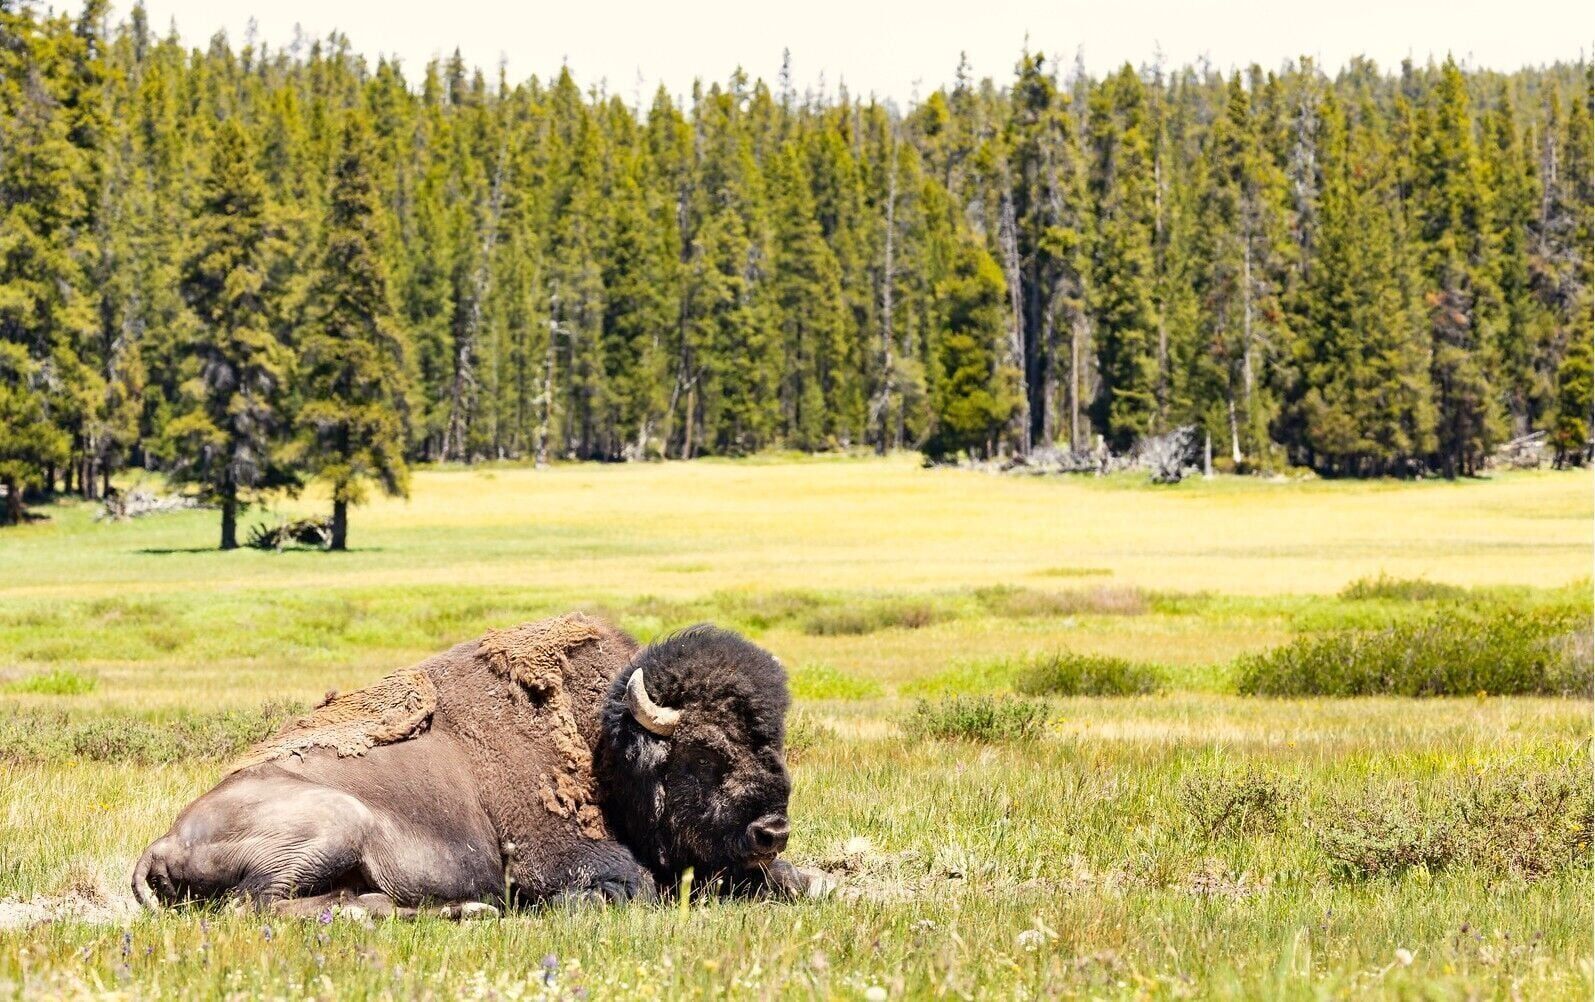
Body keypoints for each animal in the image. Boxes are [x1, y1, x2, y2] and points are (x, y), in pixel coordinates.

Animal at [132, 615, 825, 917]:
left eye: (774, 740)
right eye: (706, 750)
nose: (773, 832)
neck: (603, 745)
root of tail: (162, 841)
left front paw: (805, 880)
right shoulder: (560, 860)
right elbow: (637, 887)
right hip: (332, 823)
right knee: (260, 906)